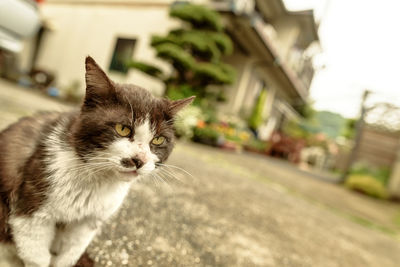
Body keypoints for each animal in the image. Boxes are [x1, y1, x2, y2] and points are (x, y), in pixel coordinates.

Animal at [0, 57, 195, 267]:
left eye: (158, 140)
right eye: (123, 129)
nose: (139, 160)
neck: (97, 181)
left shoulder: (88, 223)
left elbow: (70, 253)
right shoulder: (32, 209)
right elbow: (37, 256)